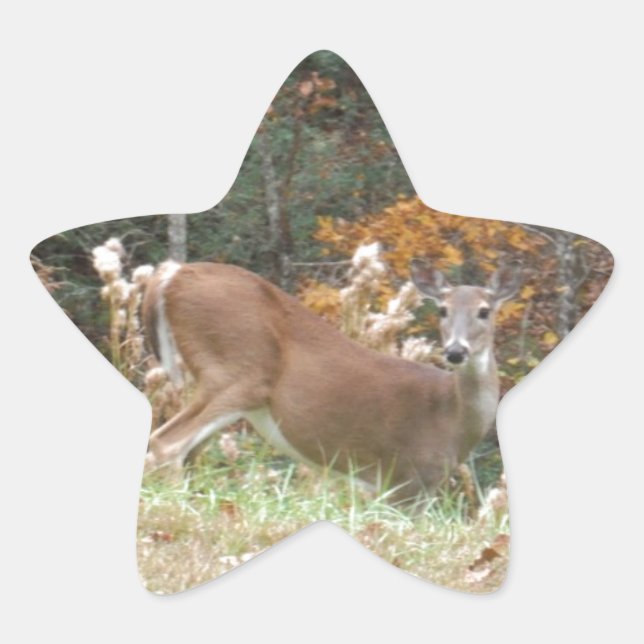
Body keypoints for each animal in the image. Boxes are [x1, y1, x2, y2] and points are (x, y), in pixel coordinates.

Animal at [141, 257, 521, 503]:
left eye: (484, 311)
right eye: (442, 309)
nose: (456, 351)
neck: (449, 415)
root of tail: (173, 273)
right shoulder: (404, 478)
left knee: (188, 450)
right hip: (238, 370)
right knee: (167, 443)